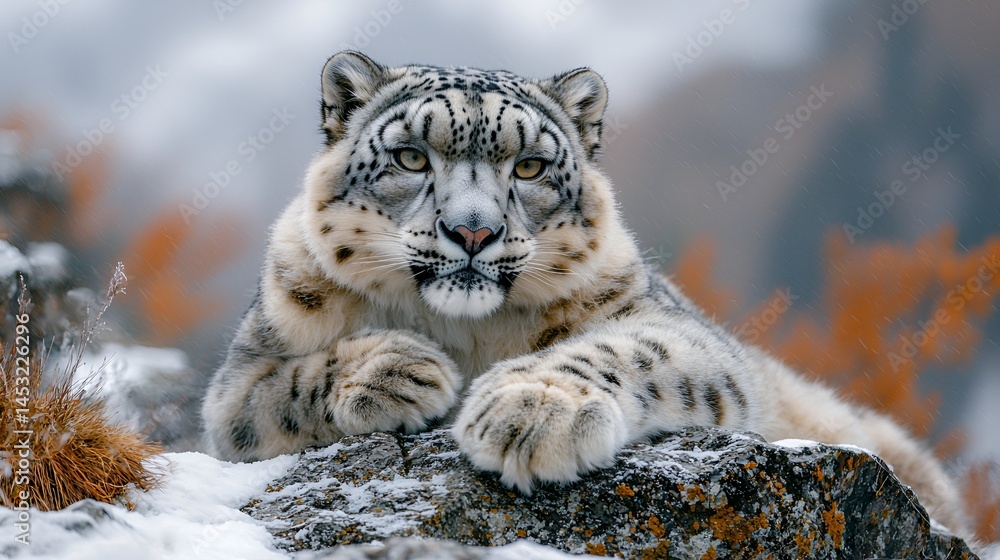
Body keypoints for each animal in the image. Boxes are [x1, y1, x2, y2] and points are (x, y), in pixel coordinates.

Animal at [201, 51, 967, 536]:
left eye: (531, 166)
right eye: (412, 156)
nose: (473, 231)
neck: (464, 331)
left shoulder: (668, 322)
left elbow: (630, 350)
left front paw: (533, 412)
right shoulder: (241, 377)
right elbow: (276, 391)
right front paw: (397, 370)